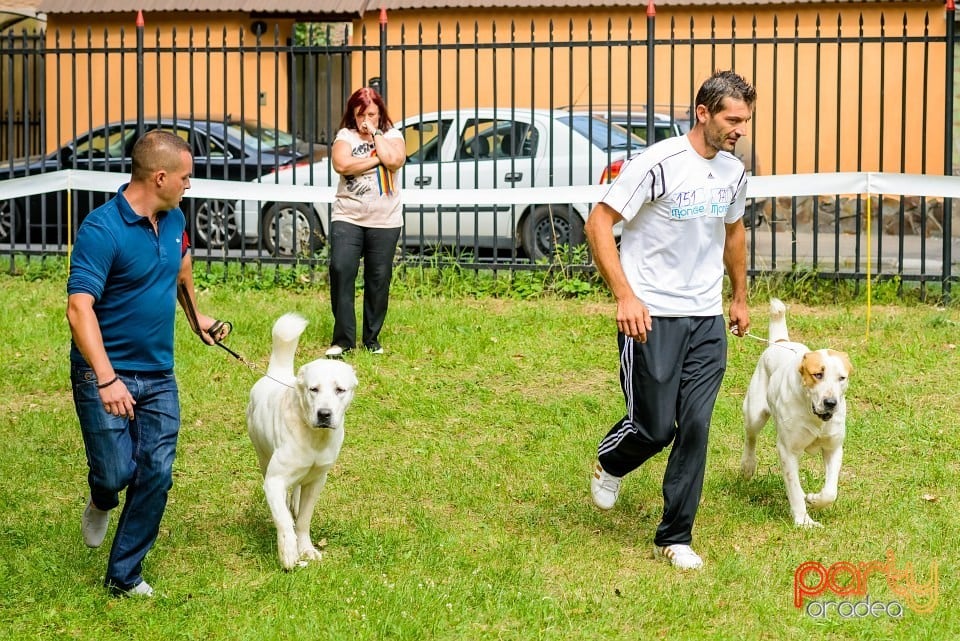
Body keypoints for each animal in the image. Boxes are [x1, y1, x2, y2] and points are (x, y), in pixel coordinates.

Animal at [246, 312, 358, 568]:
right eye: (313, 389)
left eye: (340, 390)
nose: (324, 414)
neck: (314, 436)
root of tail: (275, 373)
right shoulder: (274, 481)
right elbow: (283, 520)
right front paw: (289, 553)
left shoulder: (317, 480)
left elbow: (305, 518)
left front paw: (306, 549)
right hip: (262, 455)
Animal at [740, 298, 852, 528]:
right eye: (817, 374)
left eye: (842, 378)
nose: (831, 403)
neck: (815, 416)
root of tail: (780, 341)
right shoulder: (788, 450)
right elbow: (793, 487)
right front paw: (804, 522)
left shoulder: (834, 447)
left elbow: (830, 492)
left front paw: (814, 499)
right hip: (755, 413)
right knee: (751, 436)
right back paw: (748, 465)